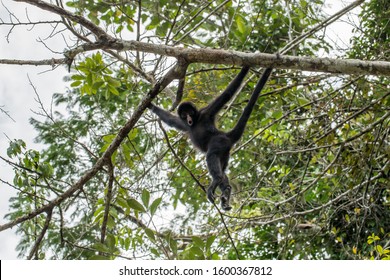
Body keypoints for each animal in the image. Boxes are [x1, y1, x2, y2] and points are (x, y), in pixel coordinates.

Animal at [149, 66, 274, 210]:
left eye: (190, 112)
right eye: (184, 114)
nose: (189, 118)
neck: (196, 121)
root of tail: (225, 135)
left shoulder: (206, 112)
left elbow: (227, 94)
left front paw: (245, 68)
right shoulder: (184, 124)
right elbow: (170, 120)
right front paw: (151, 106)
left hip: (219, 142)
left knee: (211, 156)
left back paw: (217, 181)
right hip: (225, 153)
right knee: (222, 169)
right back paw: (226, 192)